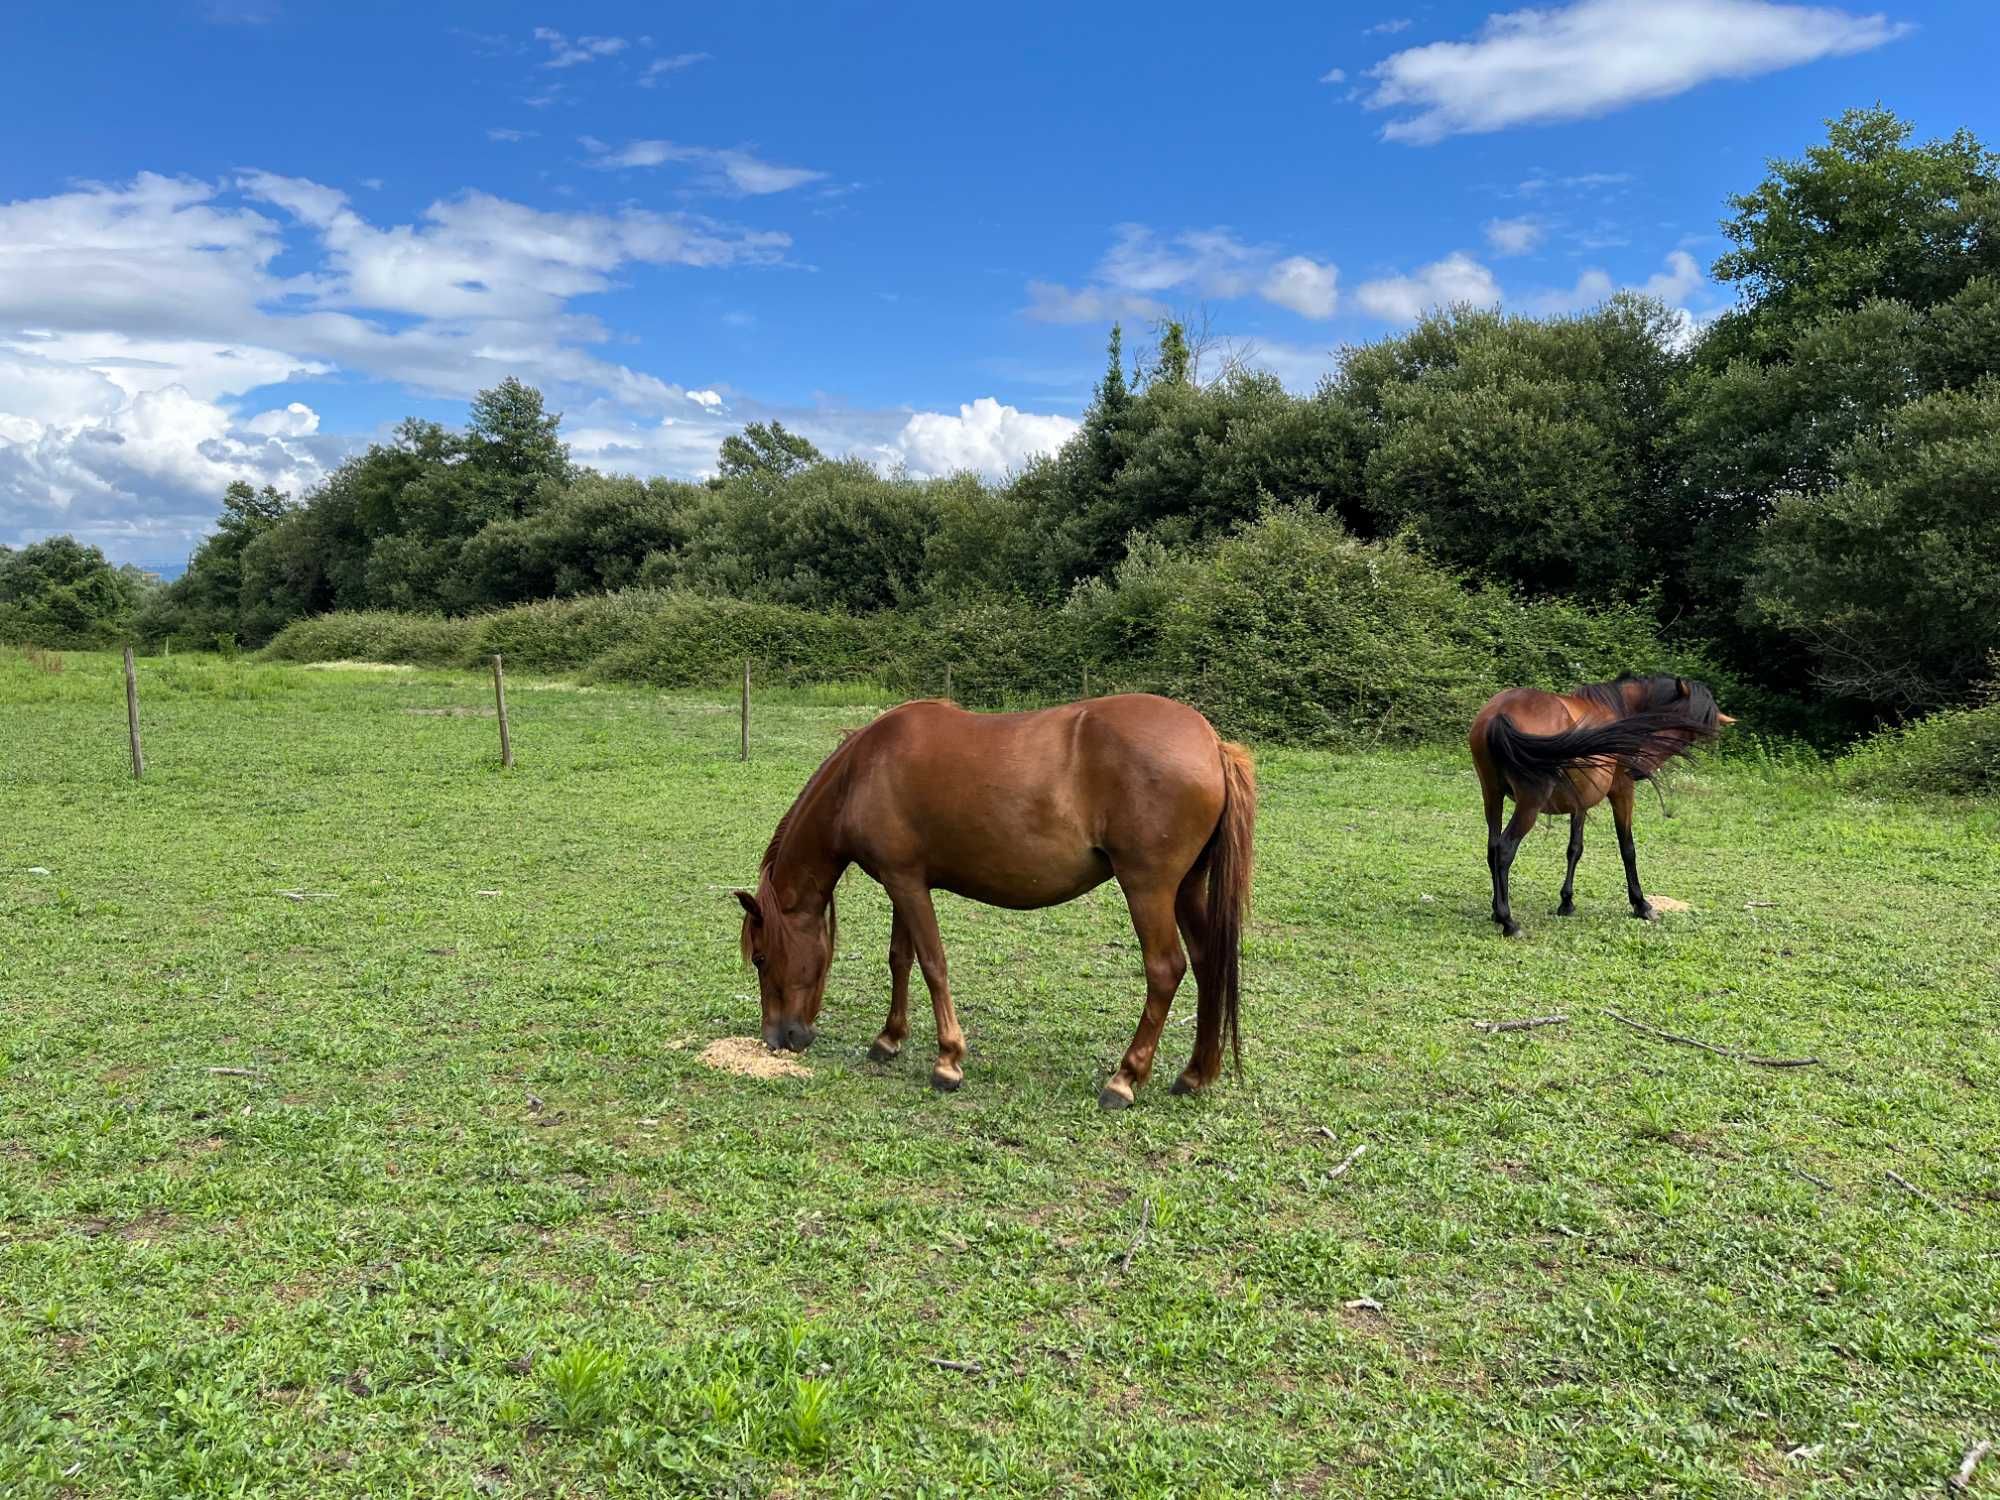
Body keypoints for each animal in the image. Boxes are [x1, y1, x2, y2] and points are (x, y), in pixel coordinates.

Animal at [744, 700, 1256, 1112]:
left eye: (761, 957)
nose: (777, 1037)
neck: (862, 773)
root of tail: (1212, 744)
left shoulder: (906, 884)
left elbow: (933, 964)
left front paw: (948, 1061)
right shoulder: (902, 882)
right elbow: (901, 959)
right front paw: (889, 1039)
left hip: (1148, 889)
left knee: (1165, 969)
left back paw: (1124, 1080)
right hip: (1187, 888)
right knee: (1208, 963)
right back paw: (1194, 1073)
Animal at [1472, 680, 1736, 940]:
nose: (1638, 769)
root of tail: (1500, 713)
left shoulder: (1579, 802)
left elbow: (1574, 849)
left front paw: (1567, 902)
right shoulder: (1622, 791)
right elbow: (1628, 849)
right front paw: (1641, 904)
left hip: (1491, 794)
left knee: (1492, 847)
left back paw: (1496, 912)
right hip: (1529, 805)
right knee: (1505, 849)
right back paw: (1508, 921)